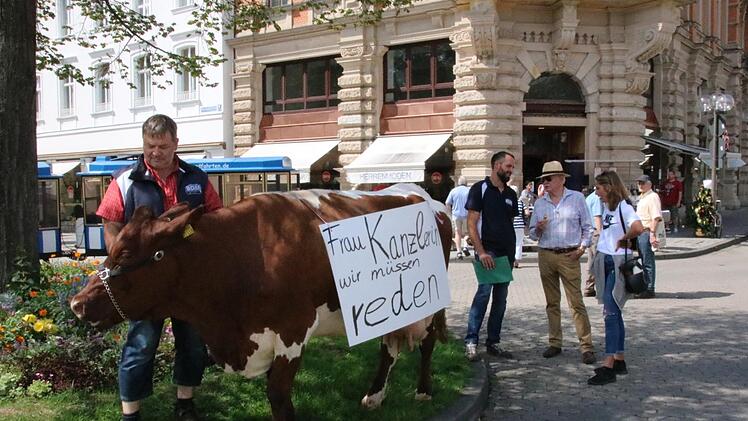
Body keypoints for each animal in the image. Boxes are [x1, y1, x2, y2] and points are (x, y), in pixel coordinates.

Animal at [70, 183, 452, 420]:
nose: (77, 303)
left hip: (428, 299)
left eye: (125, 254)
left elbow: (278, 396)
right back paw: (374, 397)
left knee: (426, 343)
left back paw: (423, 391)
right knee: (389, 347)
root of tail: (424, 196)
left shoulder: (292, 330)